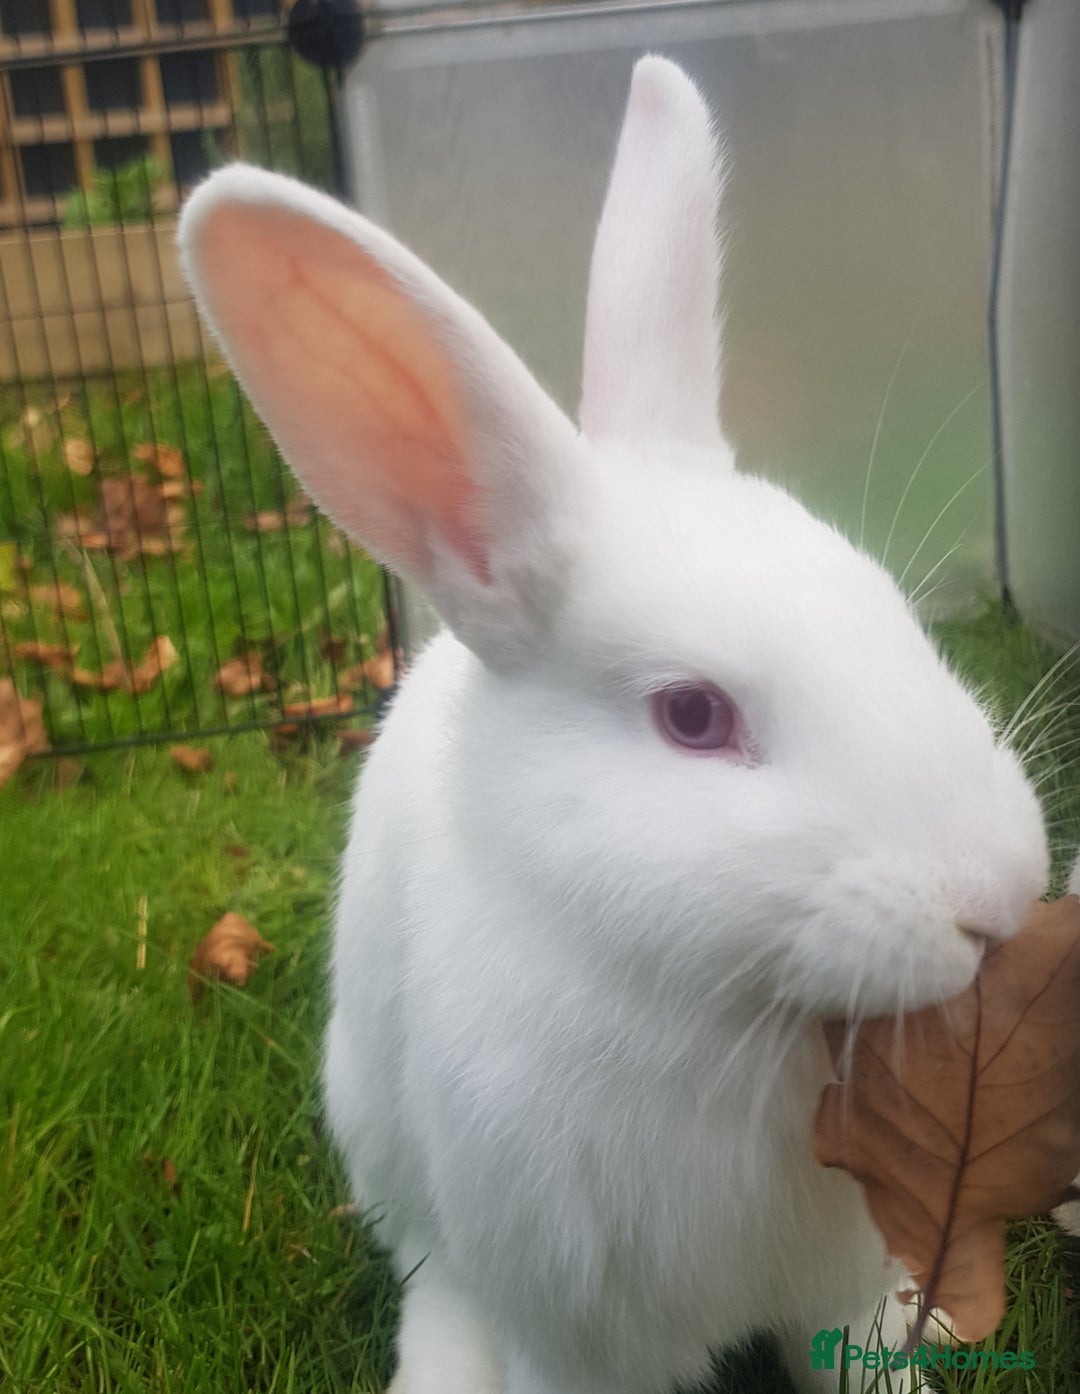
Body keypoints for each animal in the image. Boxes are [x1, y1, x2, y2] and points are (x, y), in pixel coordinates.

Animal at [178, 54, 1050, 1394]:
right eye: (692, 714)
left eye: (893, 610)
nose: (1001, 893)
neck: (731, 1026)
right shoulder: (572, 1317)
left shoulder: (838, 1277)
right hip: (382, 1136)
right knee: (429, 1265)